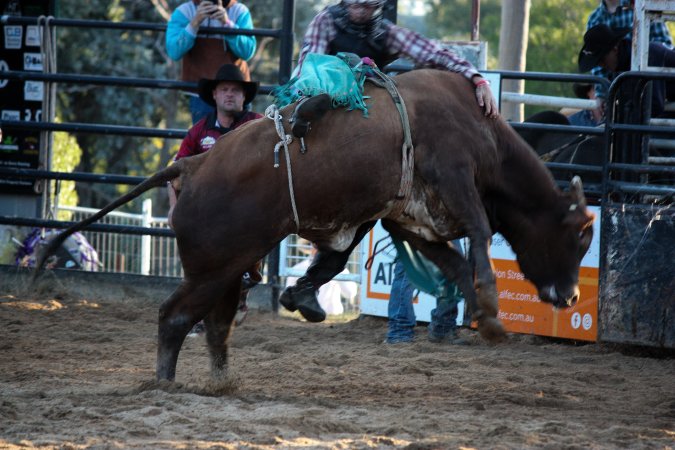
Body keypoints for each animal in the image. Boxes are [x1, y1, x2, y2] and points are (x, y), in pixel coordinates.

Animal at [35, 69, 595, 382]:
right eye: (579, 235)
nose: (571, 297)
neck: (481, 128)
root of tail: (190, 165)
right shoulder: (453, 178)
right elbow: (477, 233)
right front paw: (491, 302)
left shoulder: (409, 219)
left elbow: (453, 263)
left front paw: (485, 315)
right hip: (210, 270)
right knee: (175, 318)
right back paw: (165, 385)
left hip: (229, 268)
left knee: (216, 325)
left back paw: (220, 383)